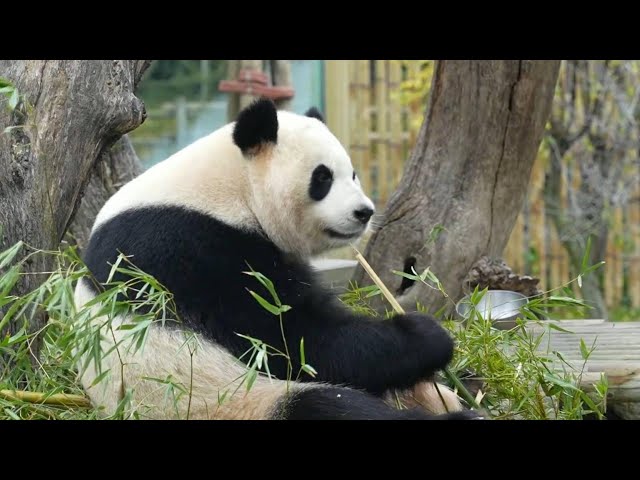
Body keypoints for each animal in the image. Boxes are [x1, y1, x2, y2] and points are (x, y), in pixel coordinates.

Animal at [74, 97, 480, 420]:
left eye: (352, 173)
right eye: (322, 178)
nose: (364, 212)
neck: (231, 187)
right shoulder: (187, 249)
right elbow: (293, 337)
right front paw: (427, 333)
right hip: (228, 402)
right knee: (327, 407)